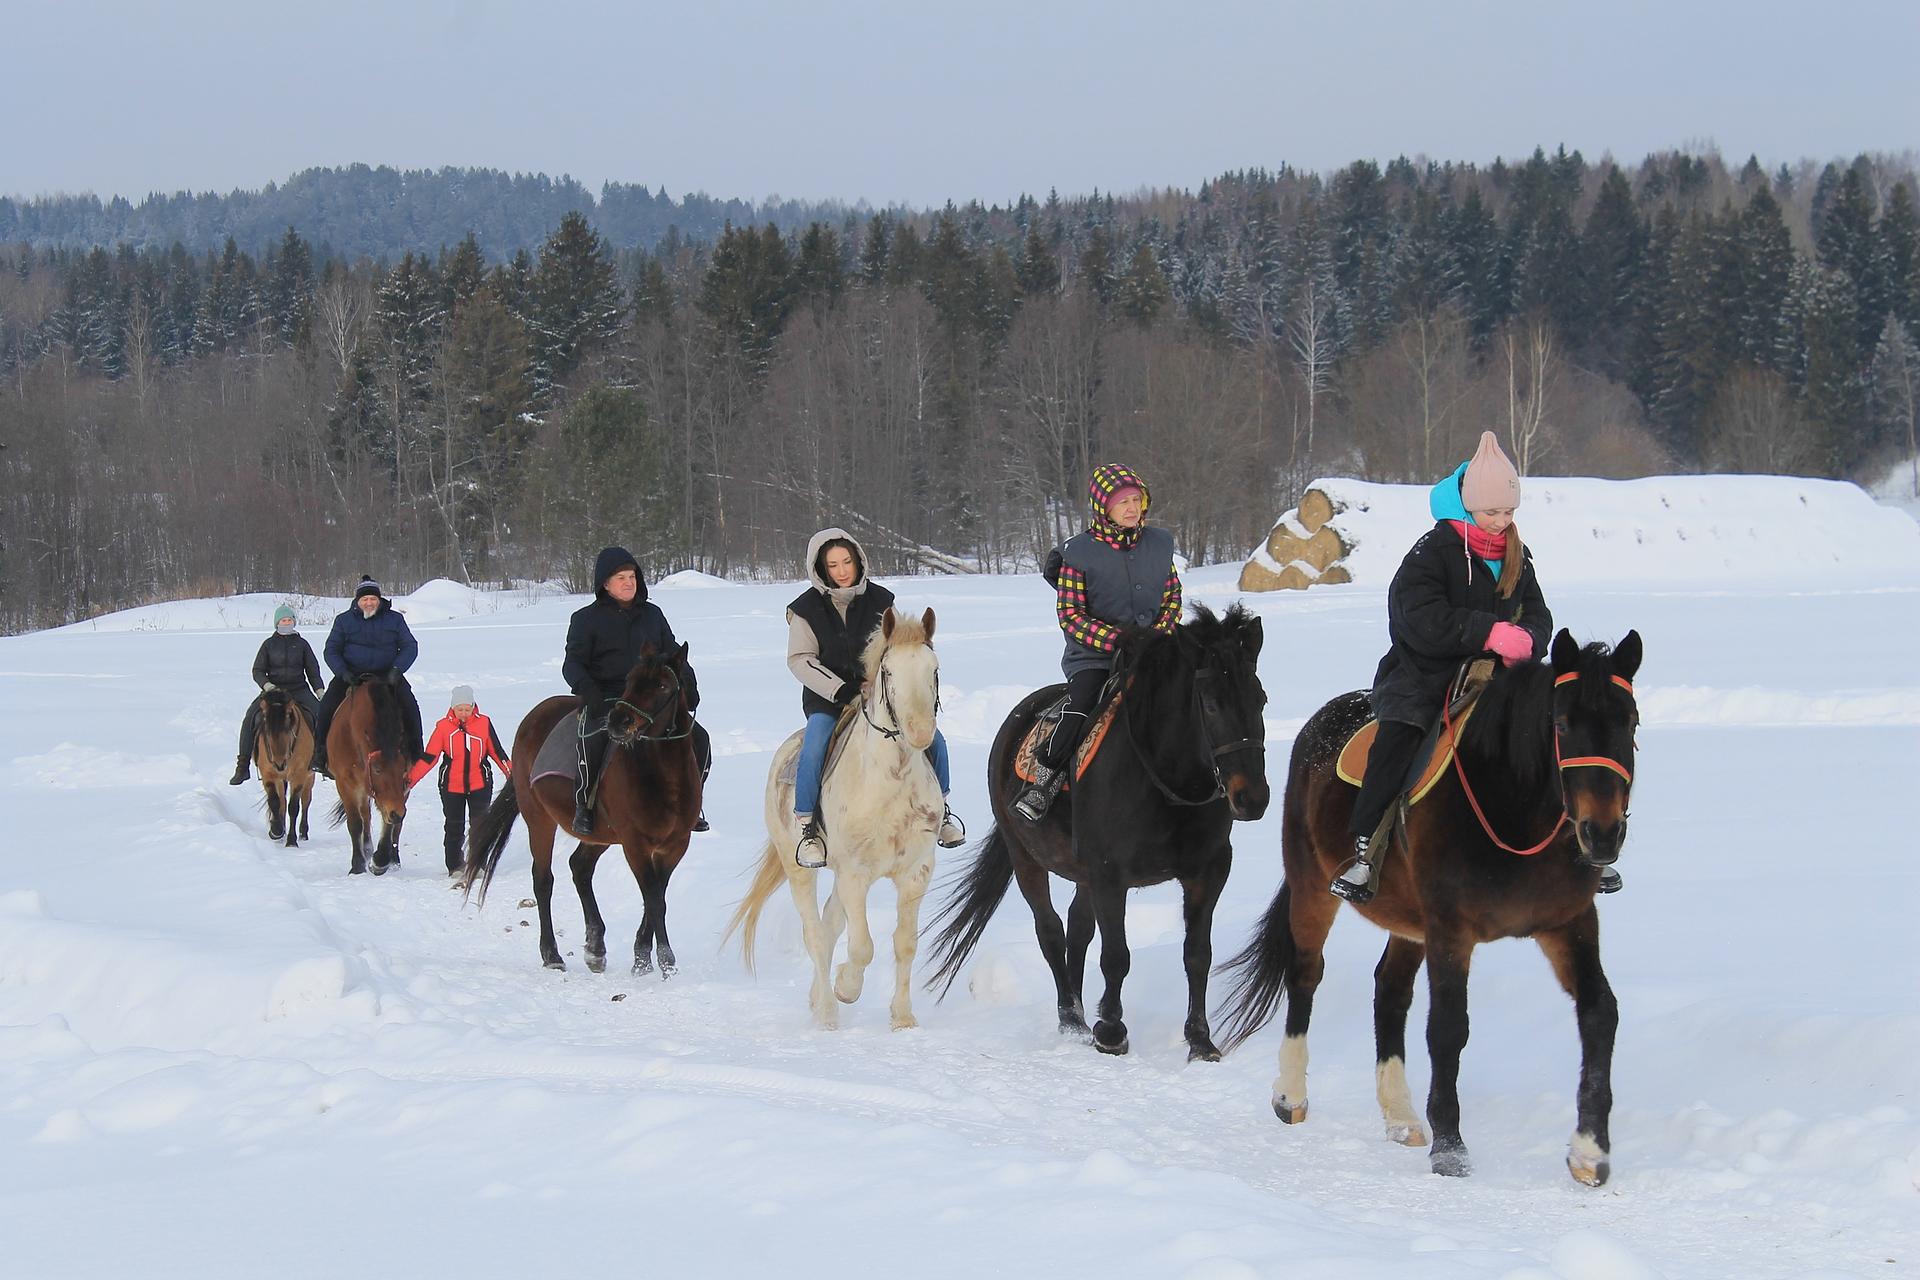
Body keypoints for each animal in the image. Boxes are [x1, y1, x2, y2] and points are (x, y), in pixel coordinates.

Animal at [251, 687, 314, 844]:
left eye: (288, 728)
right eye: (266, 731)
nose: (279, 764)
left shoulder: (298, 776)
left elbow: (294, 807)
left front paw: (291, 841)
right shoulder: (268, 775)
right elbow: (275, 802)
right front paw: (276, 830)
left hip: (309, 776)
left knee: (306, 801)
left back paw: (303, 832)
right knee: (282, 801)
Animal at [326, 675, 412, 875]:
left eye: (402, 769)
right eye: (377, 769)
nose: (397, 812)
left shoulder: (402, 790)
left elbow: (390, 823)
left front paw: (380, 860)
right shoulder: (345, 784)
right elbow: (355, 824)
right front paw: (357, 865)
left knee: (395, 826)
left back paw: (393, 860)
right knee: (365, 814)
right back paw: (366, 850)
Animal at [460, 644, 702, 974]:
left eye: (662, 685)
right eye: (631, 680)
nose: (618, 721)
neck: (663, 777)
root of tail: (534, 717)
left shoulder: (676, 844)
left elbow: (658, 895)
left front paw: (642, 956)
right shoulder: (635, 844)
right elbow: (654, 898)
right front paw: (664, 961)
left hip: (600, 835)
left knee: (580, 867)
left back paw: (595, 948)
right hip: (539, 820)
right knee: (543, 881)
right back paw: (552, 954)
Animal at [921, 606, 1267, 1066]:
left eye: (1260, 699)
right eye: (1210, 704)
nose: (1253, 798)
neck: (1161, 780)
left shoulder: (1207, 872)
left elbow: (1197, 955)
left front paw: (1200, 1041)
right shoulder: (1109, 873)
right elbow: (1116, 955)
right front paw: (1112, 1031)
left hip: (1081, 870)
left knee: (1078, 927)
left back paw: (1082, 1010)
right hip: (1025, 857)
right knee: (1051, 930)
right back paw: (1072, 1017)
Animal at [1221, 633, 1643, 1189]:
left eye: (1630, 722)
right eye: (1561, 723)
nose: (1602, 833)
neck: (1513, 808)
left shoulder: (1568, 923)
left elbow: (1599, 1013)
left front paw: (1590, 1151)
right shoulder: (1450, 929)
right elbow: (1447, 1028)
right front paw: (1451, 1148)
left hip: (1408, 922)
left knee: (1390, 990)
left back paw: (1400, 1117)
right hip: (1313, 888)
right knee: (1306, 975)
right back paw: (1290, 1095)